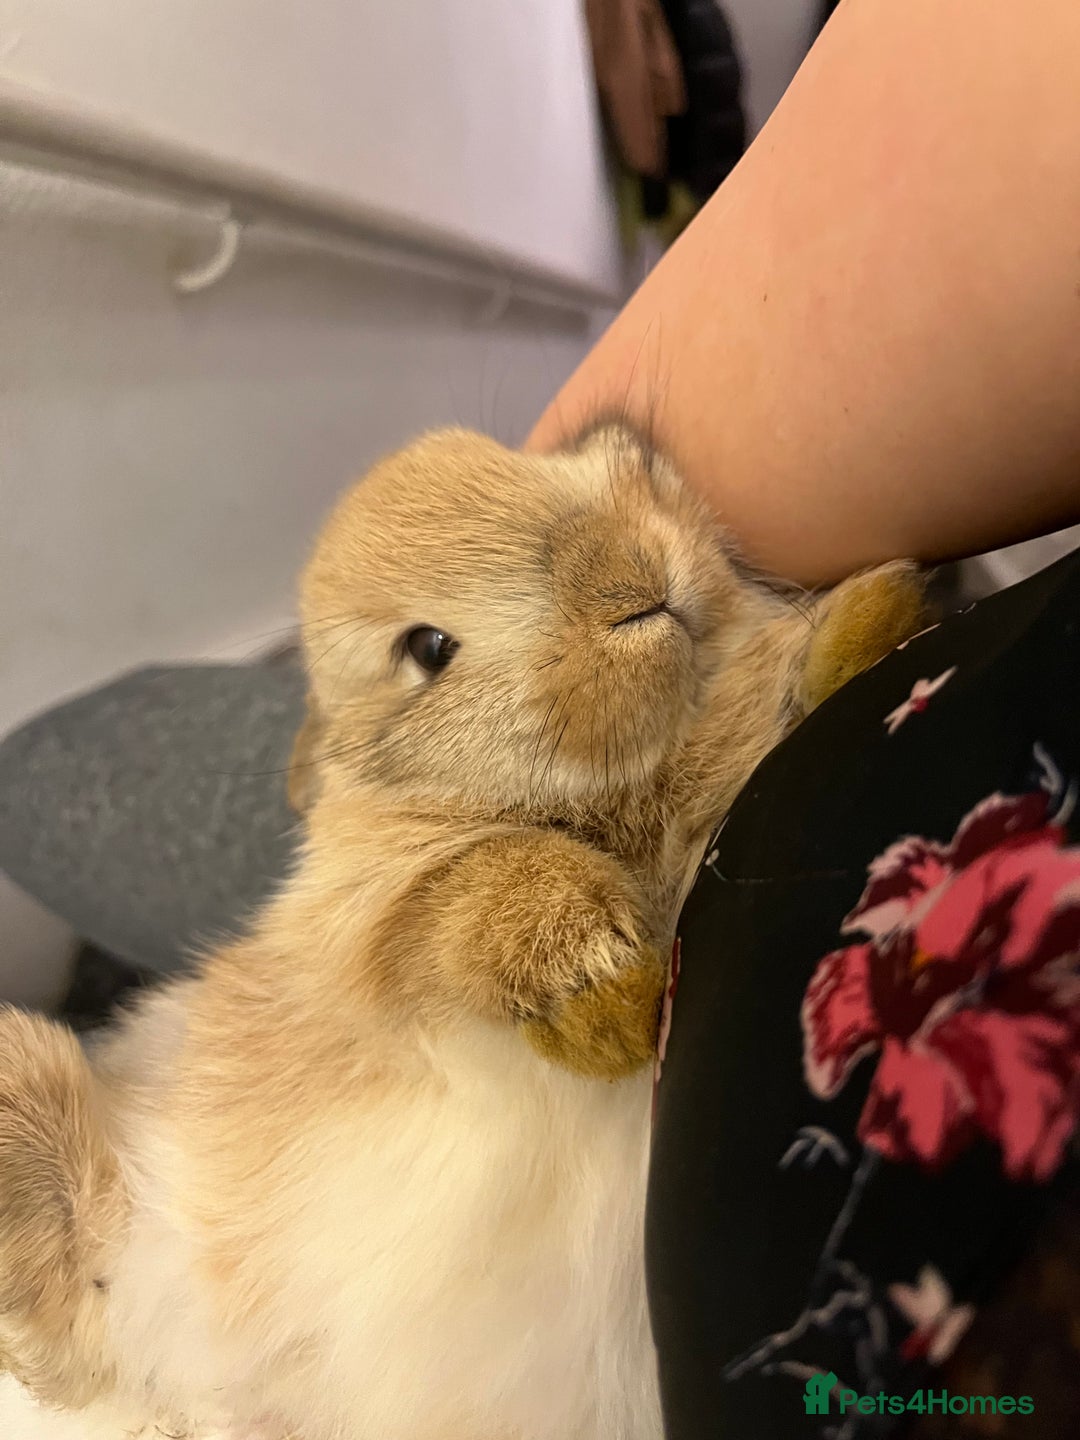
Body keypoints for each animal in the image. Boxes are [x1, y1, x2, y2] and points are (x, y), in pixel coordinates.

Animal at [0, 425, 925, 1440]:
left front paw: (877, 618)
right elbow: (475, 893)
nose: (632, 582)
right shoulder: (375, 931)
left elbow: (766, 706)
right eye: (427, 647)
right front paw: (611, 1006)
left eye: (574, 464)